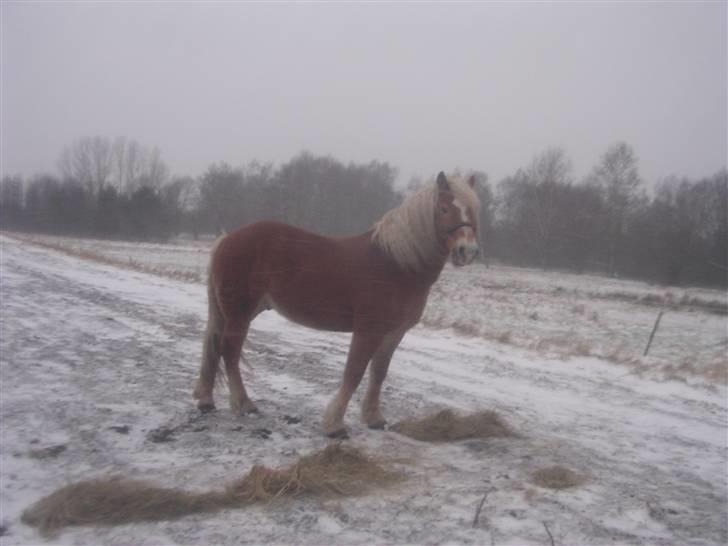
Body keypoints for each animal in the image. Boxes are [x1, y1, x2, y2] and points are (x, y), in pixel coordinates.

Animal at [191, 172, 480, 436]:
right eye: (444, 209)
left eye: (474, 210)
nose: (467, 251)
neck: (397, 263)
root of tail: (228, 239)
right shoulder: (367, 330)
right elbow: (354, 371)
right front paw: (335, 425)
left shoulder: (394, 332)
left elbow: (379, 371)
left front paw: (374, 418)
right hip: (239, 312)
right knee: (229, 351)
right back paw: (243, 404)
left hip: (238, 312)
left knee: (216, 347)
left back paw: (207, 400)